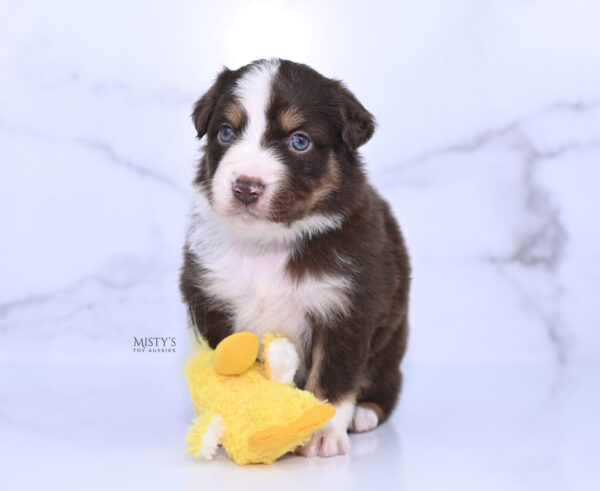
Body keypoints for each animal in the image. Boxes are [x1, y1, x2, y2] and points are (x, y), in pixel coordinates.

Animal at [180, 59, 410, 460]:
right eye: (225, 132)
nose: (246, 187)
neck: (269, 244)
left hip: (390, 346)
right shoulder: (211, 299)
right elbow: (223, 369)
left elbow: (333, 379)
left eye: (299, 141)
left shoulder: (346, 311)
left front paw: (323, 433)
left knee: (385, 388)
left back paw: (364, 414)